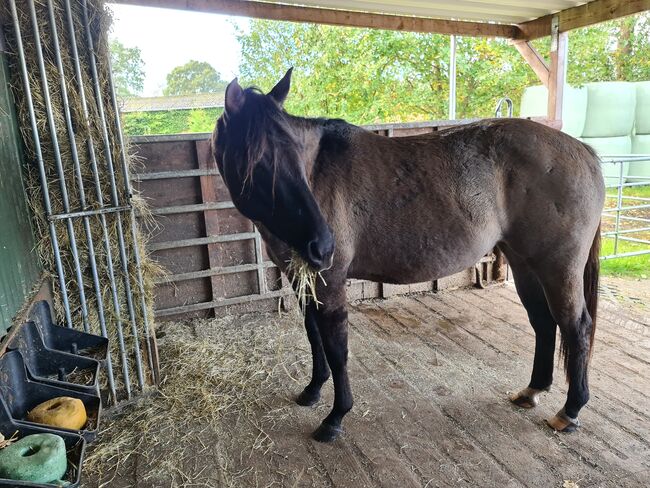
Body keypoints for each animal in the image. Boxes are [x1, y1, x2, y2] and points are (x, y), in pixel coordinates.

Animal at [211, 69, 604, 446]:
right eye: (257, 162)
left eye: (297, 155)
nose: (323, 246)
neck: (318, 176)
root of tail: (584, 152)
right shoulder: (302, 278)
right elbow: (313, 333)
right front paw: (312, 390)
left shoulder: (330, 282)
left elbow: (336, 347)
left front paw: (335, 417)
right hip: (524, 263)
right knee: (543, 322)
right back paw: (532, 390)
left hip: (558, 268)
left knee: (576, 326)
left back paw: (570, 411)